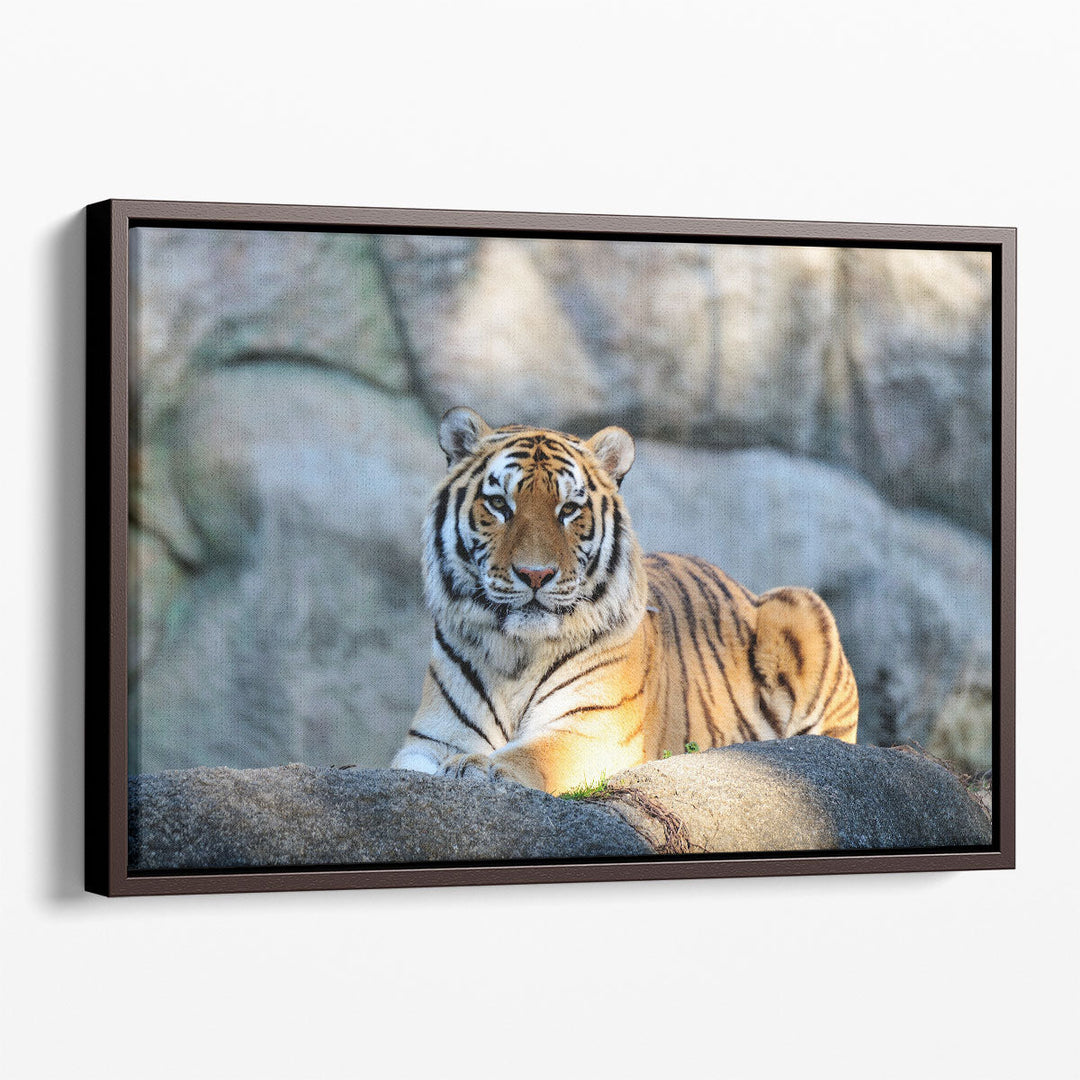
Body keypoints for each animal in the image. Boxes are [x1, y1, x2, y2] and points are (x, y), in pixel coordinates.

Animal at [391, 407, 859, 795]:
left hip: (801, 606)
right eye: (499, 504)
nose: (535, 574)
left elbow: (529, 754)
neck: (516, 655)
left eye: (569, 509)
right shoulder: (432, 739)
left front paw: (477, 767)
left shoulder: (591, 729)